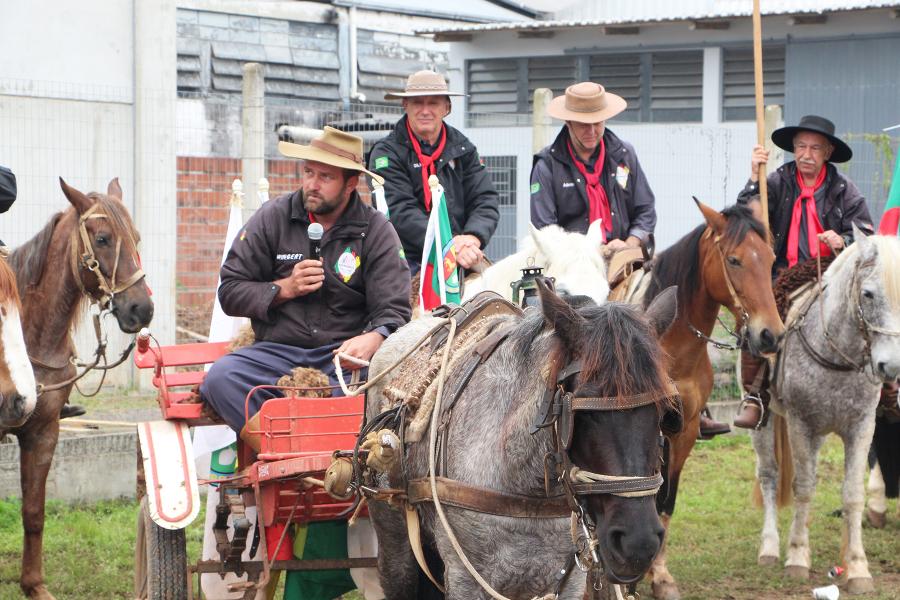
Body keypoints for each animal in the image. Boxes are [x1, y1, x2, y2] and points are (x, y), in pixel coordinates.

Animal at [3, 178, 153, 600]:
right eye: (102, 238)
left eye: (136, 237)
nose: (142, 309)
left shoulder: (44, 433)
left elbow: (33, 512)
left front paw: (33, 584)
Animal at [362, 284, 680, 600]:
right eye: (583, 412)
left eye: (666, 411)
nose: (639, 542)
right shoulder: (464, 579)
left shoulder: (570, 582)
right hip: (394, 539)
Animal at [636, 202, 784, 600]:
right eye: (734, 260)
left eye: (770, 258)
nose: (771, 334)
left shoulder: (684, 431)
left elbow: (665, 500)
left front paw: (660, 574)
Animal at [748, 231, 900, 596]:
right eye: (868, 293)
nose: (890, 367)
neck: (837, 356)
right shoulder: (801, 424)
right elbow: (803, 487)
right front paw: (797, 557)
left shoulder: (862, 426)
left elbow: (853, 494)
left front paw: (857, 567)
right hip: (764, 423)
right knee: (770, 476)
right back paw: (770, 548)